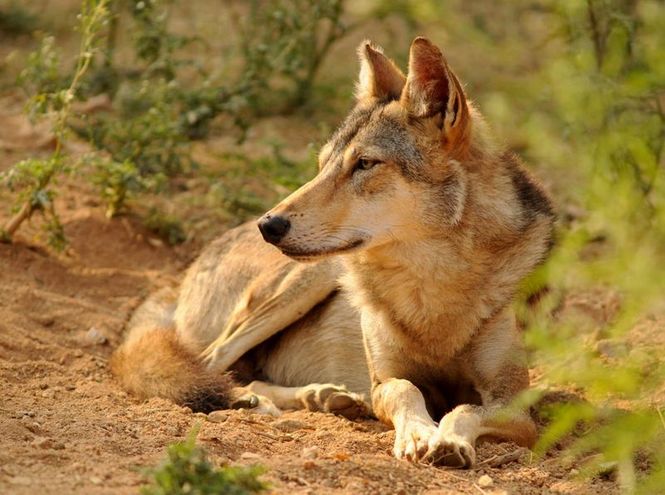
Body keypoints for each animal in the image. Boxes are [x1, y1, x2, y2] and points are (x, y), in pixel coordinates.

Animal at [111, 38, 552, 468]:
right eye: (323, 165)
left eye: (365, 164)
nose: (268, 225)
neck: (429, 289)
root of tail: (181, 278)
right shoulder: (384, 382)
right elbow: (408, 392)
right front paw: (417, 434)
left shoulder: (516, 404)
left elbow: (464, 409)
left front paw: (448, 440)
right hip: (310, 282)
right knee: (208, 367)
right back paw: (254, 401)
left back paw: (323, 397)